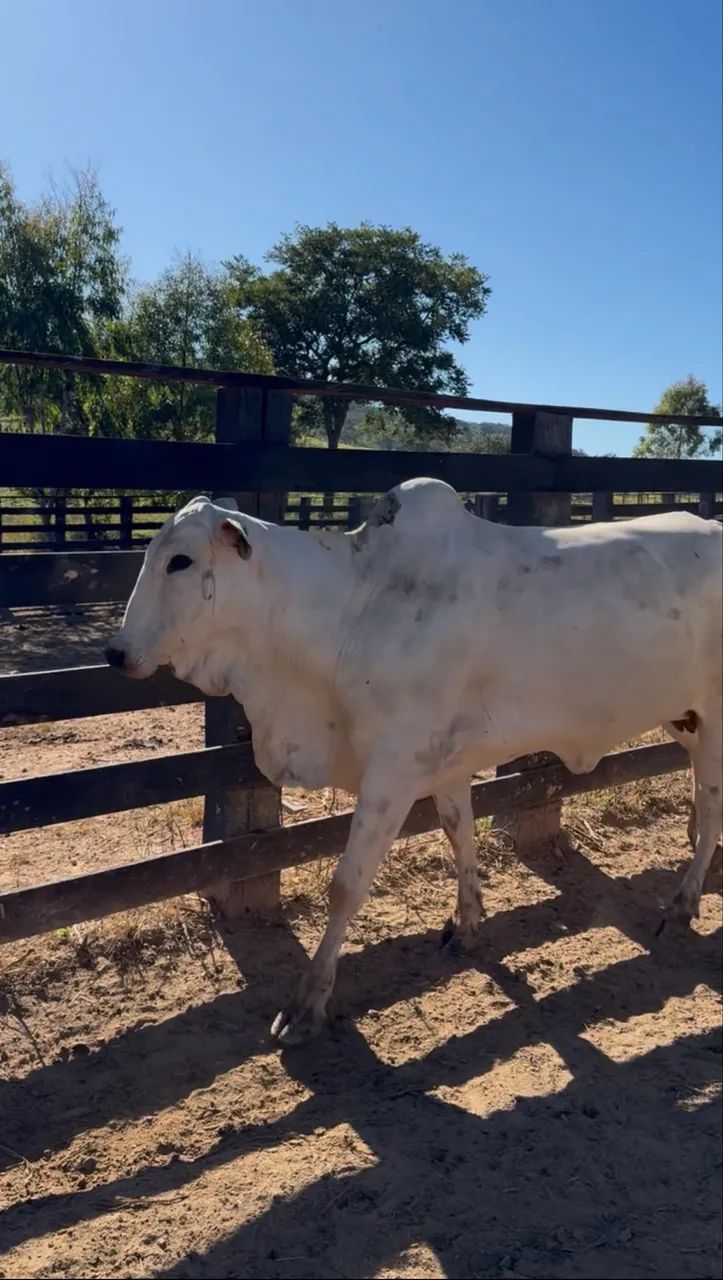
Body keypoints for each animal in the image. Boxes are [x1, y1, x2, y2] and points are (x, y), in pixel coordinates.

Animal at [106, 478, 723, 1046]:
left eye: (181, 561)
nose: (115, 652)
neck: (352, 612)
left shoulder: (394, 768)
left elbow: (347, 885)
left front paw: (306, 1004)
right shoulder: (444, 764)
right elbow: (461, 836)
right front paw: (467, 926)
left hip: (715, 717)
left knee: (712, 810)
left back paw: (683, 904)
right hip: (688, 717)